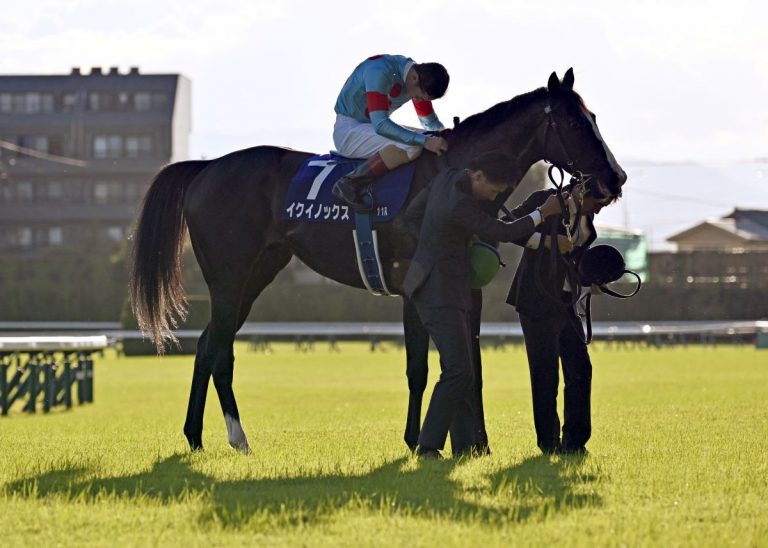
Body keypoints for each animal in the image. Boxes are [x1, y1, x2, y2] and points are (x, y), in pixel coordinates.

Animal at [130, 69, 624, 454]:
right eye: (575, 122)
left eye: (596, 118)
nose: (614, 178)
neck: (454, 176)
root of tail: (207, 167)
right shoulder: (415, 287)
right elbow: (419, 369)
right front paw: (418, 440)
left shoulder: (468, 287)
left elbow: (473, 366)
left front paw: (476, 444)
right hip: (229, 278)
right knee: (220, 352)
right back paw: (238, 437)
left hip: (256, 274)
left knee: (206, 346)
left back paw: (195, 436)